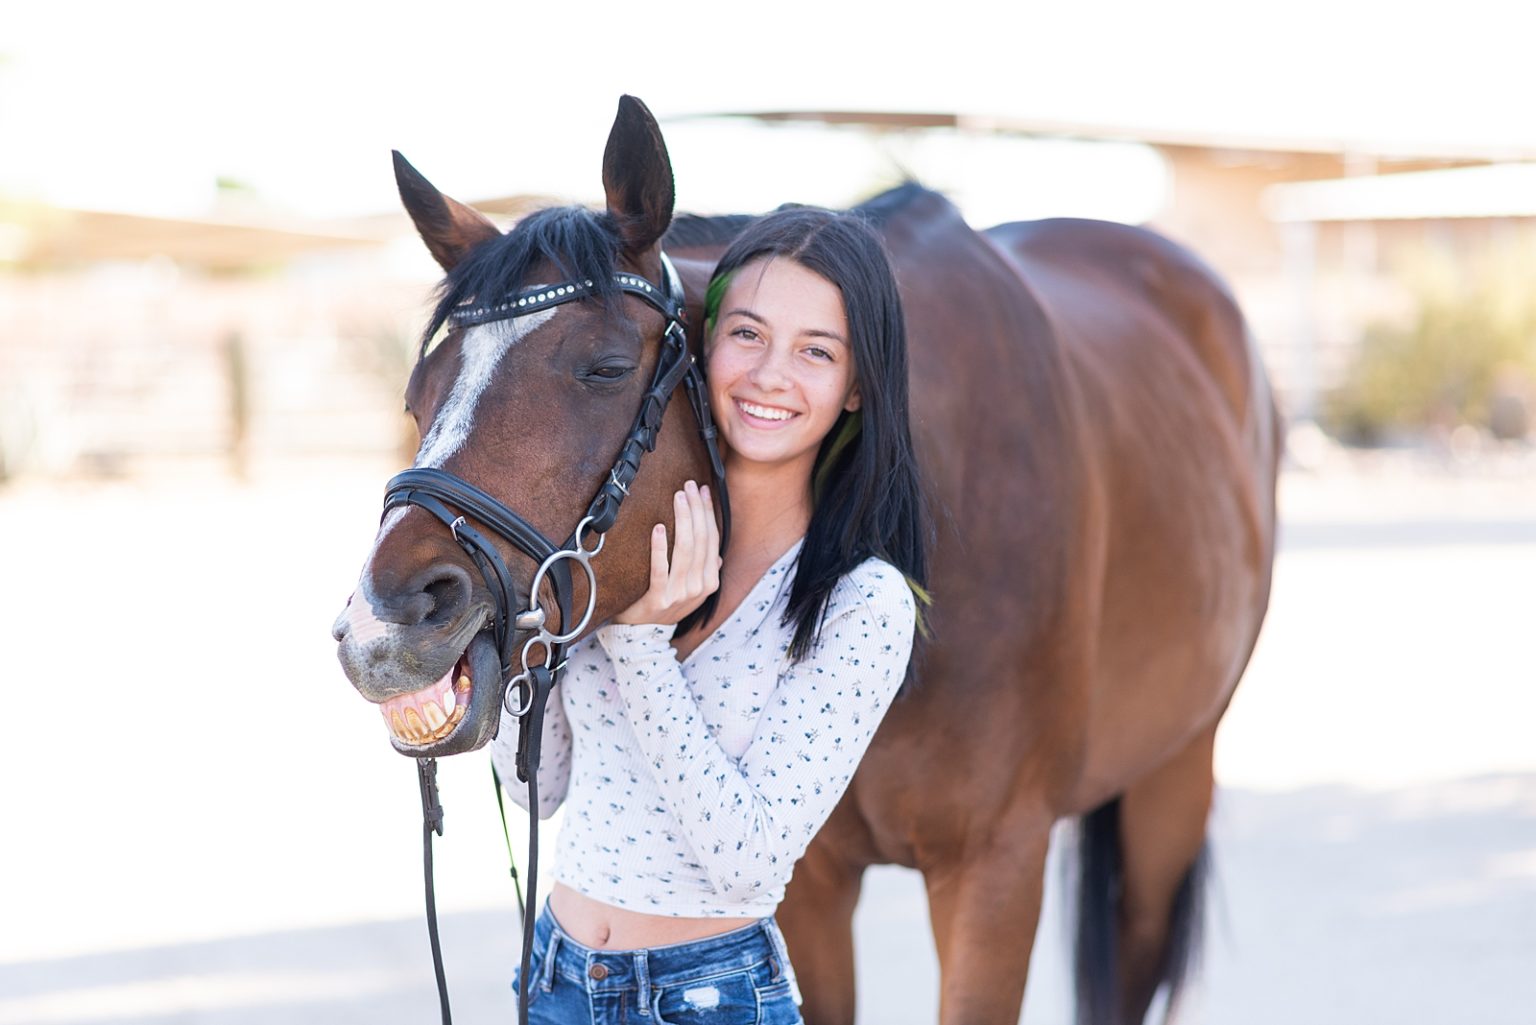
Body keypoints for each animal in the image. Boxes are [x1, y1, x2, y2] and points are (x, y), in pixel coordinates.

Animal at [330, 98, 1277, 1025]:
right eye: (417, 394)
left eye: (605, 367)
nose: (384, 627)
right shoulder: (812, 883)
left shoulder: (996, 864)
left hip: (1175, 775)